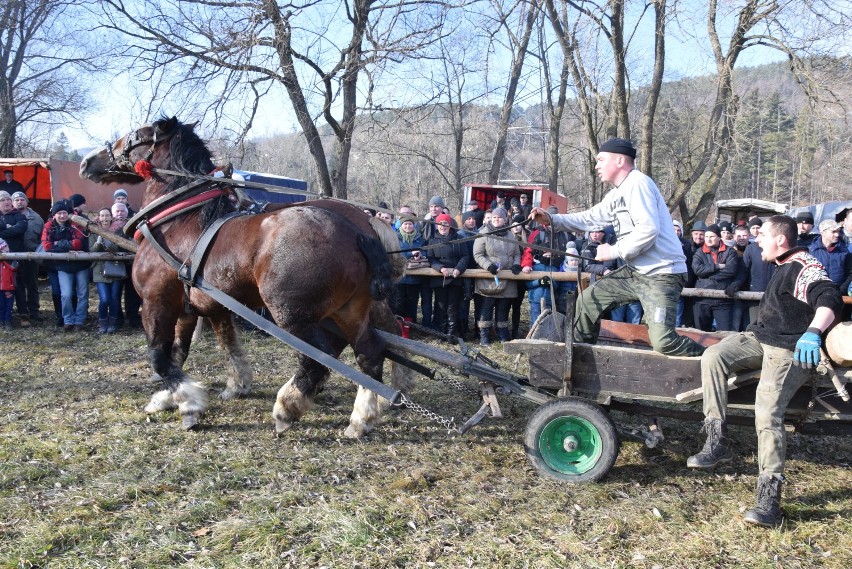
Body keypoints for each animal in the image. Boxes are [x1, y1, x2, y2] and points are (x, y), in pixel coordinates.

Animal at [79, 116, 410, 434]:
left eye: (135, 134)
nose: (86, 162)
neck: (176, 221)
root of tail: (357, 230)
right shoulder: (198, 307)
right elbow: (194, 349)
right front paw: (177, 396)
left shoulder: (155, 301)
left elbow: (159, 356)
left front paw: (190, 403)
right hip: (349, 309)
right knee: (370, 352)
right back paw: (363, 417)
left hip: (293, 315)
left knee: (319, 359)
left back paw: (288, 407)